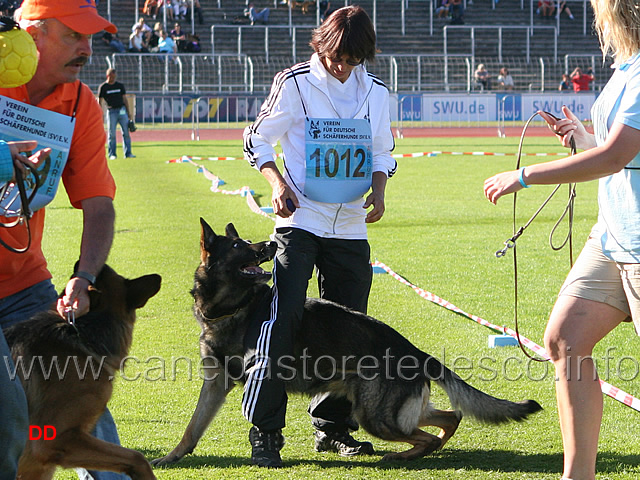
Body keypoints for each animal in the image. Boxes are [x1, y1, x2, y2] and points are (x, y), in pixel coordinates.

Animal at [152, 220, 544, 464]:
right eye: (239, 244)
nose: (270, 245)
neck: (232, 308)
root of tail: (416, 352)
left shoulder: (257, 374)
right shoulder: (215, 384)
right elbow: (192, 427)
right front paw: (171, 457)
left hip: (375, 416)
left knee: (428, 433)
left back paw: (401, 456)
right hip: (392, 412)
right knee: (451, 417)